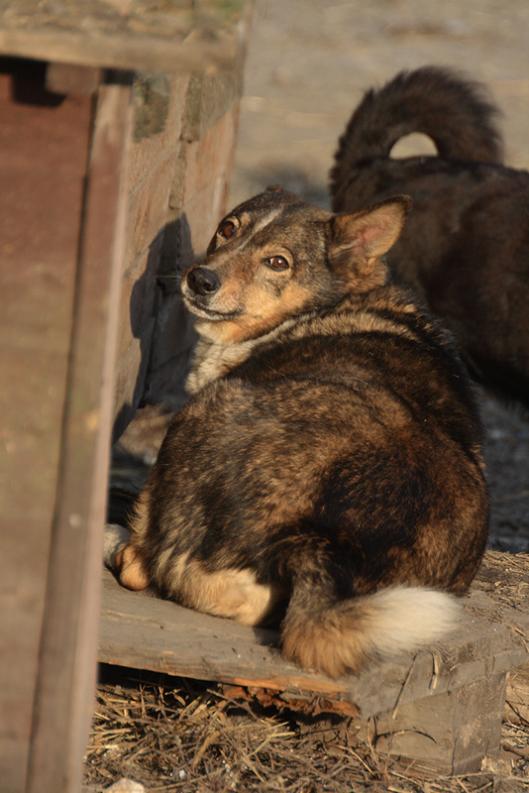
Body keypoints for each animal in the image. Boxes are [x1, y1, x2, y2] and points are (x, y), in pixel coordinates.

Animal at [105, 189, 488, 676]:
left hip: (204, 411)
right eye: (228, 229)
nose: (200, 279)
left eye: (278, 262)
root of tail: (319, 541)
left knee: (149, 564)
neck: (326, 306)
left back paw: (117, 541)